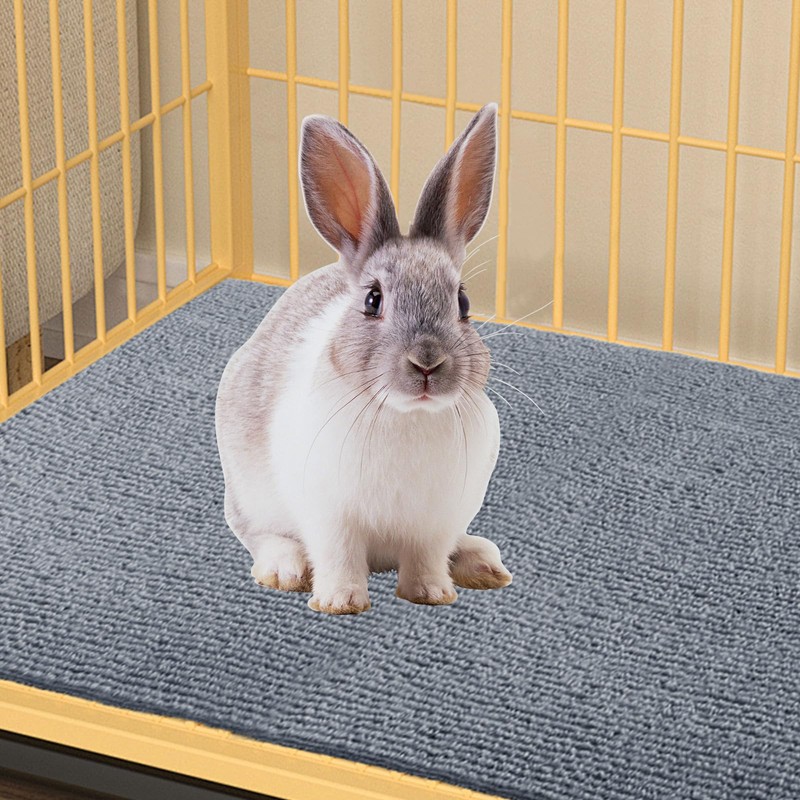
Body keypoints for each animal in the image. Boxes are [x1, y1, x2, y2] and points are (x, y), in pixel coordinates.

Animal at [215, 103, 511, 614]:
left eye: (463, 302)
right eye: (373, 300)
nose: (427, 363)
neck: (406, 414)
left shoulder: (435, 521)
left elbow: (427, 558)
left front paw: (432, 595)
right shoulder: (329, 515)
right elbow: (338, 556)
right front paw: (339, 602)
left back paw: (481, 564)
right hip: (249, 493)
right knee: (259, 534)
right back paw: (284, 569)